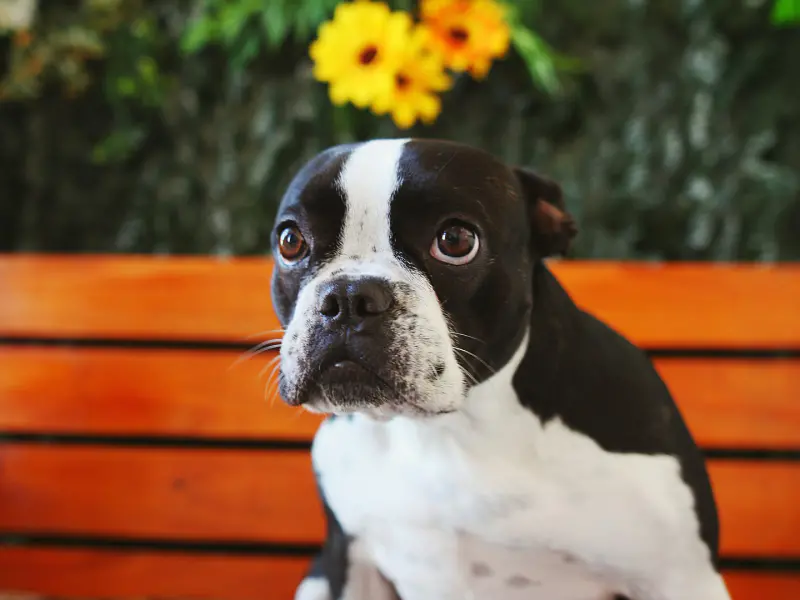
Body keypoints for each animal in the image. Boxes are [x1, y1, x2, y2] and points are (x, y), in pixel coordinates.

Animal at [270, 139, 732, 600]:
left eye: (456, 240)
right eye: (291, 241)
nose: (349, 296)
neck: (453, 432)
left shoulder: (684, 579)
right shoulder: (348, 562)